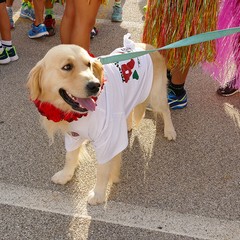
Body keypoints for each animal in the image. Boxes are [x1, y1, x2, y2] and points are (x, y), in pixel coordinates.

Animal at [27, 37, 176, 204]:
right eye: (67, 67)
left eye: (88, 64)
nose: (95, 85)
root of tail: (149, 46)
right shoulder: (73, 135)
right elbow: (70, 157)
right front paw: (66, 175)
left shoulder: (107, 141)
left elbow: (102, 170)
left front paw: (98, 194)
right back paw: (127, 125)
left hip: (156, 95)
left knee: (166, 110)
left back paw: (170, 131)